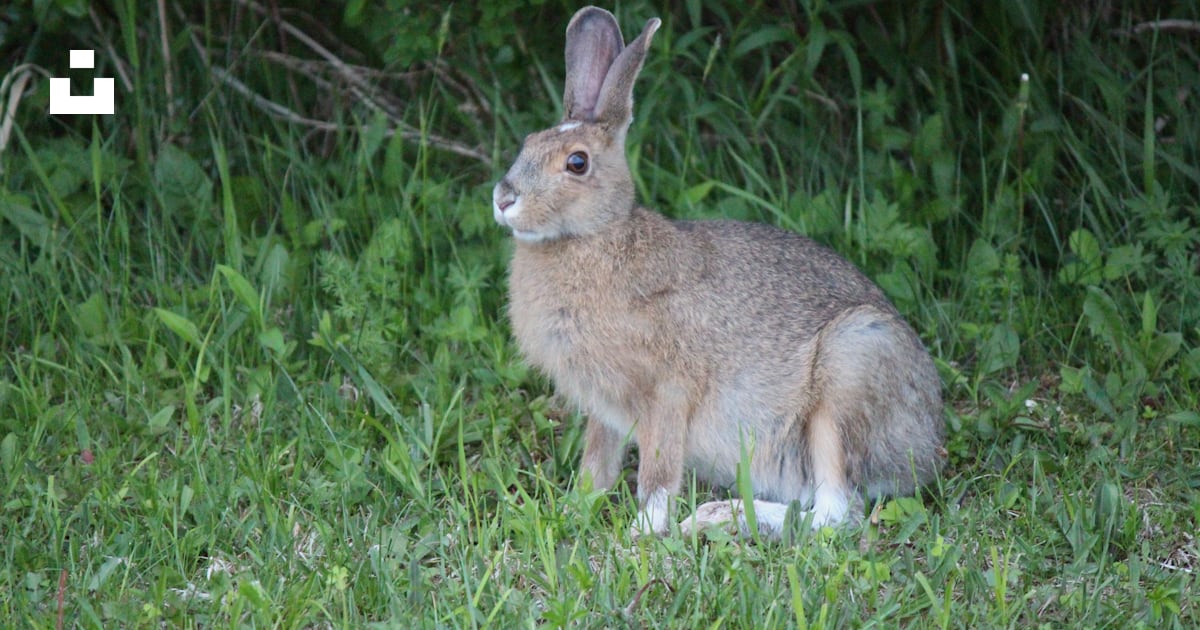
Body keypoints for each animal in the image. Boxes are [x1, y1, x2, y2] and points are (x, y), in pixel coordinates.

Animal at [492, 6, 944, 538]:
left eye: (577, 163)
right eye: (528, 143)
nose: (504, 198)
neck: (596, 237)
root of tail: (927, 443)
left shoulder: (668, 391)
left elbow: (658, 474)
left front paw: (642, 531)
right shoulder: (606, 411)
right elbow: (597, 464)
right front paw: (572, 509)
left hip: (848, 373)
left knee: (836, 513)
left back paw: (711, 518)